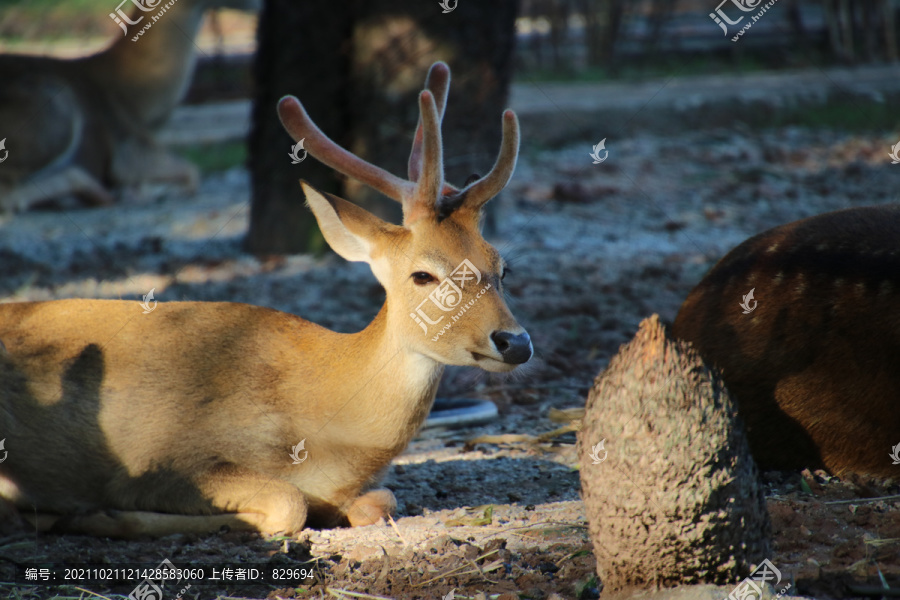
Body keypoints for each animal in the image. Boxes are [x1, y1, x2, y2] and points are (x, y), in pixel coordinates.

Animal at [0, 62, 532, 540]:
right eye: (423, 274)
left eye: (503, 268)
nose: (516, 342)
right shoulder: (156, 462)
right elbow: (287, 504)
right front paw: (95, 516)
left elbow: (380, 500)